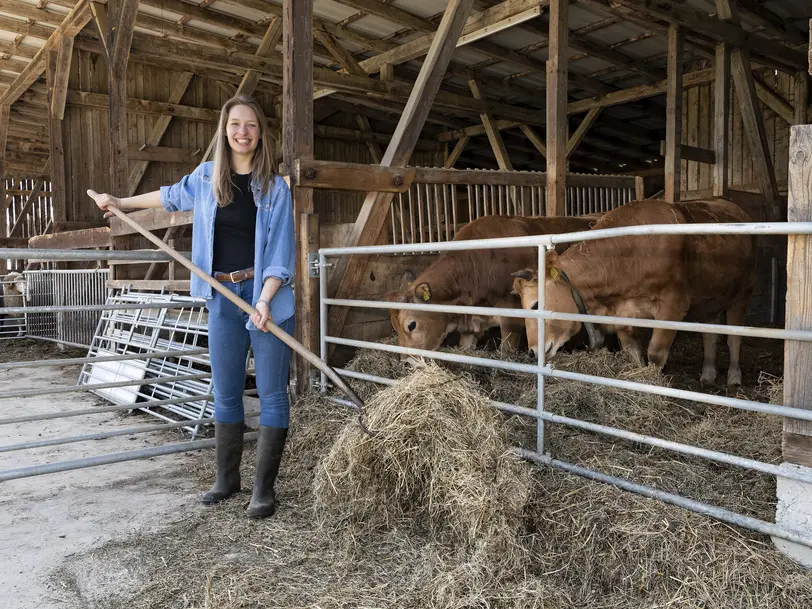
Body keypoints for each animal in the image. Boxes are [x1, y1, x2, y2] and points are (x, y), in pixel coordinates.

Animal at [384, 214, 600, 352]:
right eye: (393, 327)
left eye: (411, 325)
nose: (406, 362)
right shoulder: (469, 326)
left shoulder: (511, 316)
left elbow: (506, 352)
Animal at [512, 197, 756, 382]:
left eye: (536, 304)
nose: (532, 352)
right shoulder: (622, 316)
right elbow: (633, 354)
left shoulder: (673, 304)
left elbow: (656, 354)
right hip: (710, 300)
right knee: (709, 335)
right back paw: (708, 373)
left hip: (742, 294)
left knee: (734, 338)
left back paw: (734, 376)